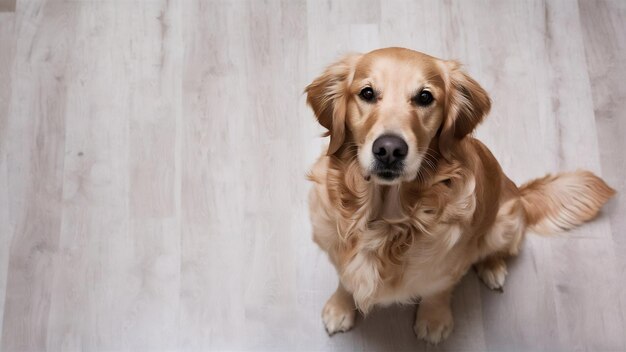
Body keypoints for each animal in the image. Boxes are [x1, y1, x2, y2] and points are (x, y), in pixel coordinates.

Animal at [304, 46, 612, 344]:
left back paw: (492, 268)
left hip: (504, 222)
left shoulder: (451, 261)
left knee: (497, 249)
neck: (385, 223)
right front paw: (340, 308)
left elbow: (438, 289)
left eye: (425, 97)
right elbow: (345, 278)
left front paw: (434, 319)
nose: (389, 149)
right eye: (367, 93)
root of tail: (518, 191)